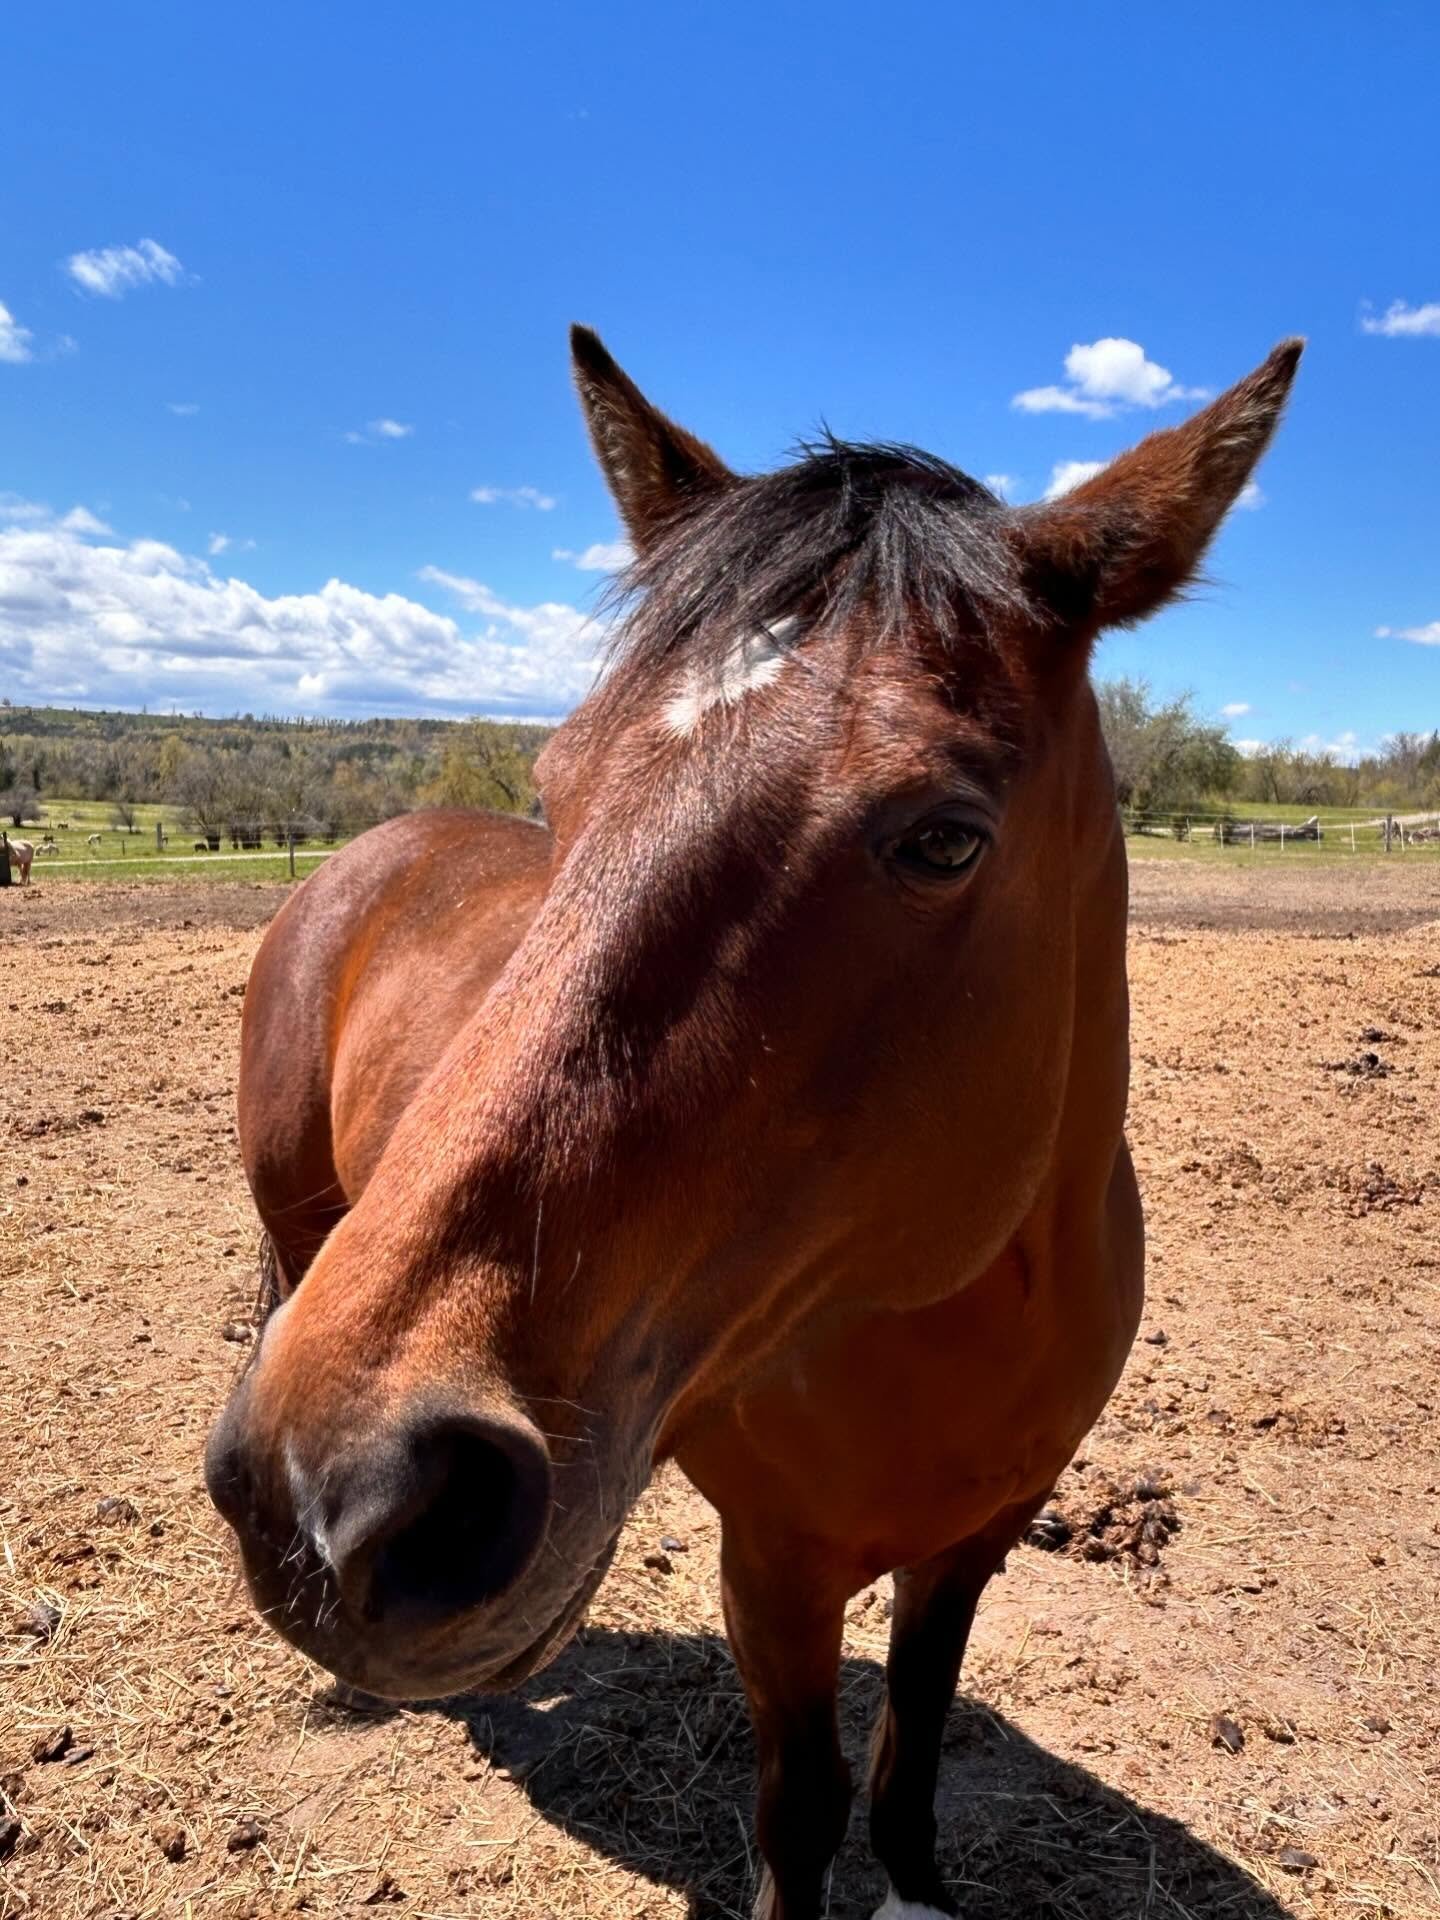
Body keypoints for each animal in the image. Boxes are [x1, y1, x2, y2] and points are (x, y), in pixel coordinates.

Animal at [207, 327, 1301, 1920]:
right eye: (559, 790)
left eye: (946, 838)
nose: (344, 1493)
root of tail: (367, 853)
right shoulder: (774, 1568)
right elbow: (804, 1806)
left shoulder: (973, 1543)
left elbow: (912, 1747)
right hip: (299, 1242)